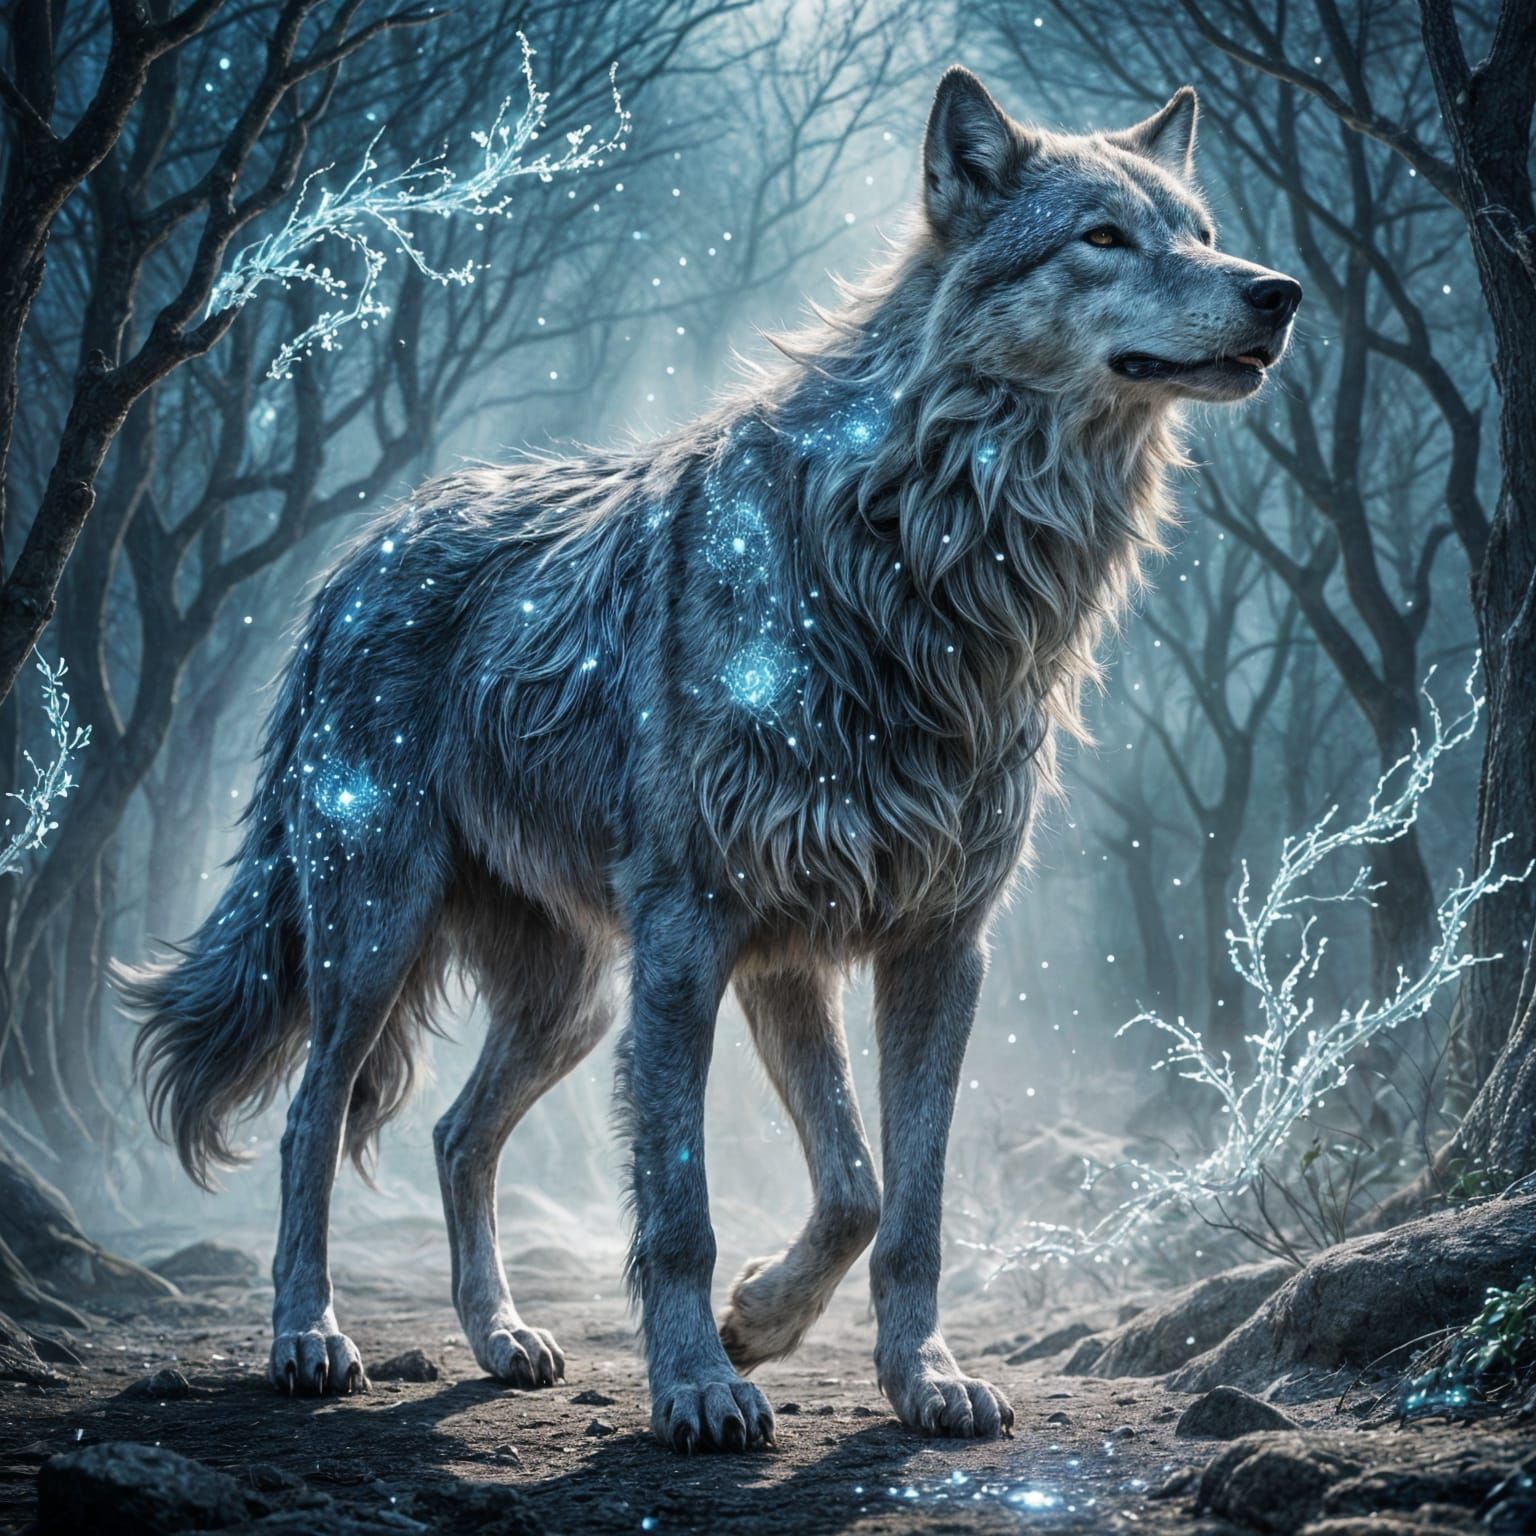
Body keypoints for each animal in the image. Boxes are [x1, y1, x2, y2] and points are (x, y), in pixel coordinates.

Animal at [124, 68, 1299, 1452]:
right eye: (1104, 237)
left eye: (1201, 228)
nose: (1278, 291)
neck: (917, 564)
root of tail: (358, 556)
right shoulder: (698, 934)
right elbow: (681, 1211)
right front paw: (698, 1383)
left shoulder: (903, 949)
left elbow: (884, 1198)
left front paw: (869, 1359)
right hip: (379, 942)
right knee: (313, 1119)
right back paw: (309, 1337)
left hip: (575, 1002)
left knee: (459, 1135)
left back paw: (503, 1338)